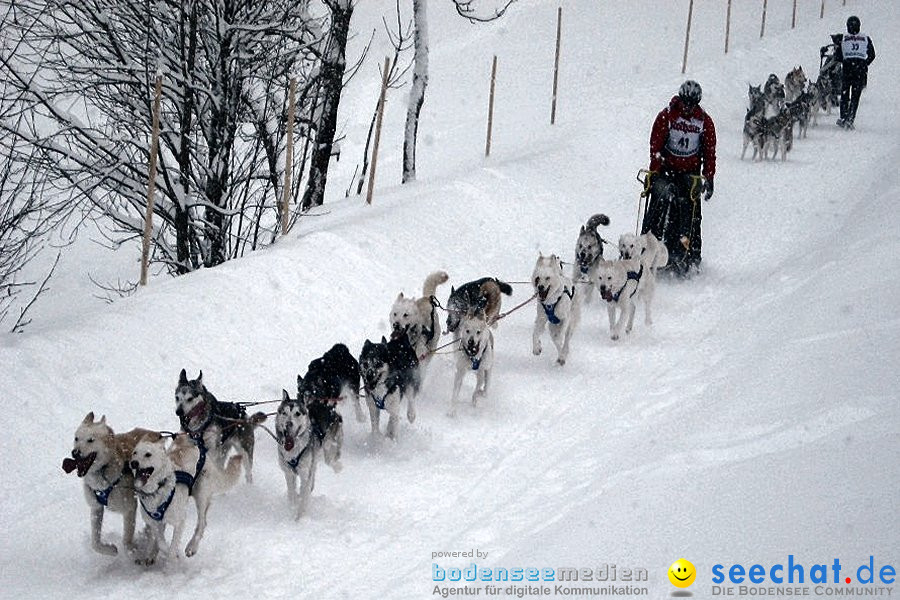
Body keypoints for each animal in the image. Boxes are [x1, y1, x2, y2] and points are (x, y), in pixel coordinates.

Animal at [62, 412, 155, 556]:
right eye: (76, 438)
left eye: (90, 440)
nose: (75, 452)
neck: (103, 470)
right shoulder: (96, 507)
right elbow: (95, 543)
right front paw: (110, 550)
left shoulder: (129, 508)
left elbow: (127, 539)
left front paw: (132, 550)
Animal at [448, 284, 500, 414]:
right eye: (467, 331)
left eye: (478, 332)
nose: (471, 341)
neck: (472, 356)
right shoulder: (460, 372)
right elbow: (455, 393)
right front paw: (452, 410)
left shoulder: (481, 373)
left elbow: (477, 390)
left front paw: (476, 398)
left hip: (488, 371)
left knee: (485, 387)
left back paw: (482, 394)